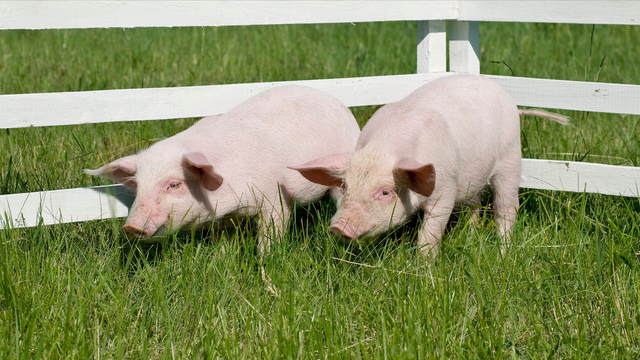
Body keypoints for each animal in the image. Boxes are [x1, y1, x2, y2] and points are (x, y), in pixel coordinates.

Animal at [86, 86, 360, 252]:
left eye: (174, 184)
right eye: (137, 186)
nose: (130, 227)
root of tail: (337, 102)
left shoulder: (274, 198)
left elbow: (270, 235)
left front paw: (266, 261)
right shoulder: (223, 220)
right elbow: (223, 243)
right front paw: (222, 258)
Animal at [292, 74, 568, 258]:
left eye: (385, 192)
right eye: (345, 187)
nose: (339, 227)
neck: (385, 147)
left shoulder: (444, 190)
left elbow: (429, 234)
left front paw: (424, 268)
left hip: (510, 157)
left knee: (506, 207)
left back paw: (502, 252)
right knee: (475, 203)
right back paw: (470, 236)